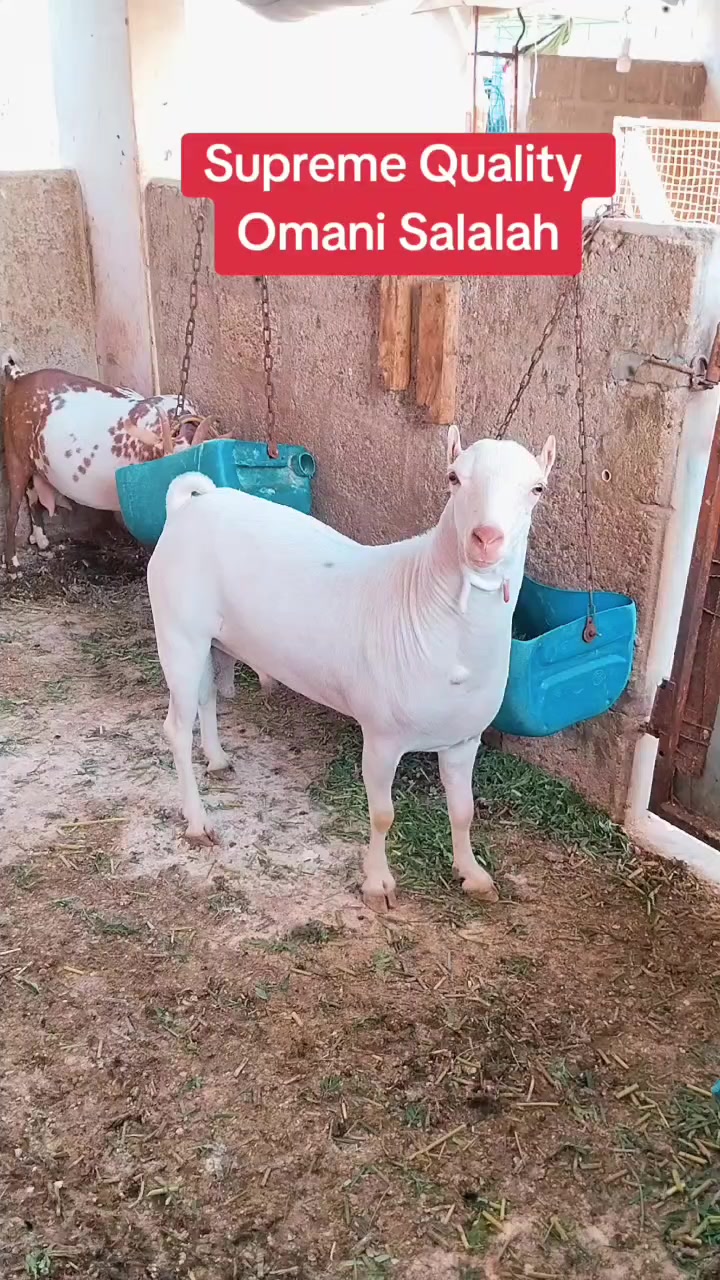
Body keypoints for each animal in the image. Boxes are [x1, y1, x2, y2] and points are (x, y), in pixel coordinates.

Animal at [0, 353, 201, 572]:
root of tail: (18, 377)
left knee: (32, 495)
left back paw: (41, 541)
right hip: (13, 454)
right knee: (12, 511)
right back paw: (12, 564)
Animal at [146, 427, 556, 912]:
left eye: (537, 489)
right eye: (453, 477)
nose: (486, 539)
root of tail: (188, 506)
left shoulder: (463, 740)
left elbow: (463, 810)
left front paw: (472, 874)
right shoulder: (381, 736)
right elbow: (382, 814)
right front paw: (378, 884)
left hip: (213, 638)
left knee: (207, 697)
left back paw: (218, 759)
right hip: (178, 631)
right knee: (176, 727)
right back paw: (196, 821)